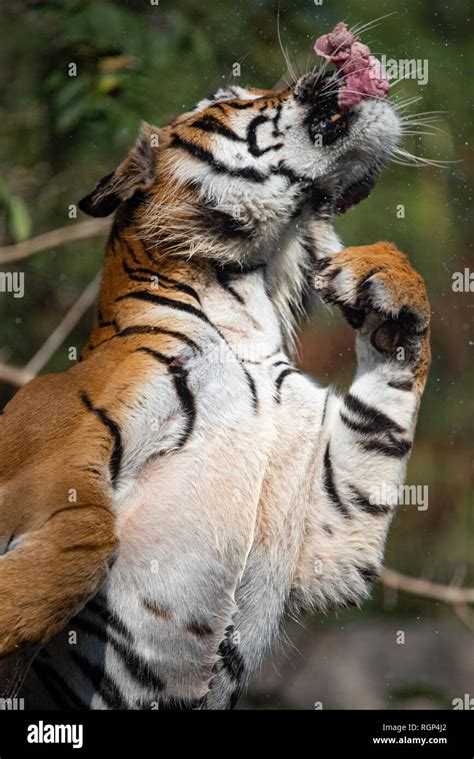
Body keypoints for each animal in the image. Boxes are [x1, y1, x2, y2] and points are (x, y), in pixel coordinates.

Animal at [0, 67, 430, 712]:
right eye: (231, 99)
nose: (330, 67)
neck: (246, 307)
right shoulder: (59, 436)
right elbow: (89, 531)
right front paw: (12, 612)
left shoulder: (330, 535)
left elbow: (381, 427)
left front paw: (383, 279)